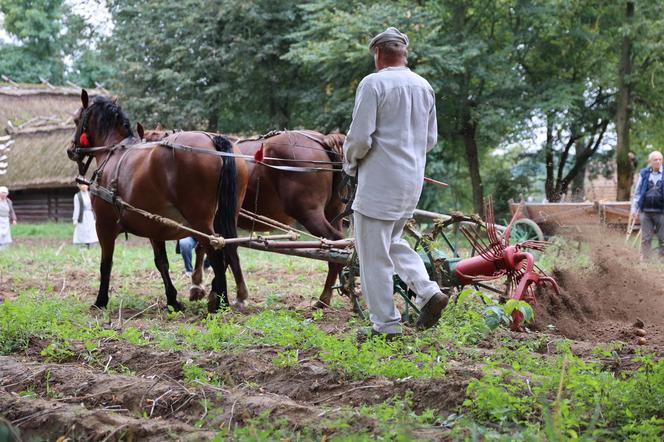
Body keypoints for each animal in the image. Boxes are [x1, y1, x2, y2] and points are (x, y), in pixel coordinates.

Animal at [68, 90, 249, 310]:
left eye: (76, 119)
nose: (71, 150)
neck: (112, 151)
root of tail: (214, 140)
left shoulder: (104, 226)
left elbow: (106, 264)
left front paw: (100, 300)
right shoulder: (154, 226)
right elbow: (161, 262)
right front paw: (173, 299)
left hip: (201, 221)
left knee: (215, 251)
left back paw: (219, 300)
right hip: (226, 216)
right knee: (229, 248)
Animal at [142, 128, 344, 308]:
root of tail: (323, 140)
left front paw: (204, 288)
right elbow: (213, 249)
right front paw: (206, 288)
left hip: (308, 212)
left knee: (335, 242)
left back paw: (324, 298)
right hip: (333, 213)